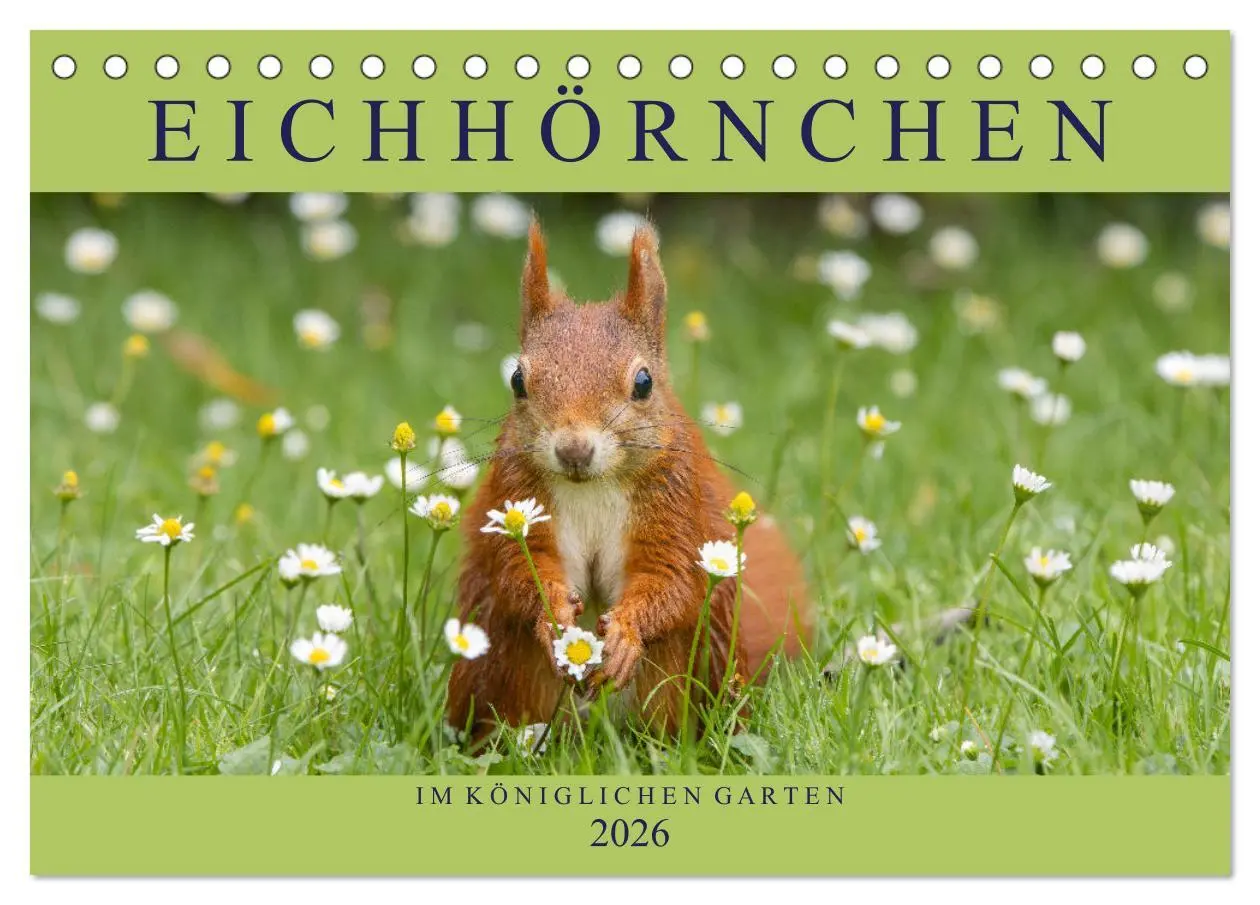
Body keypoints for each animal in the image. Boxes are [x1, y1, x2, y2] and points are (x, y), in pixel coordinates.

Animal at [447, 220, 811, 740]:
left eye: (644, 383)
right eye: (517, 380)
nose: (574, 450)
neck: (592, 488)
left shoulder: (676, 509)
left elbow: (672, 581)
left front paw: (625, 635)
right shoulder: (516, 500)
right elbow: (519, 572)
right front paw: (553, 616)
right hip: (502, 665)